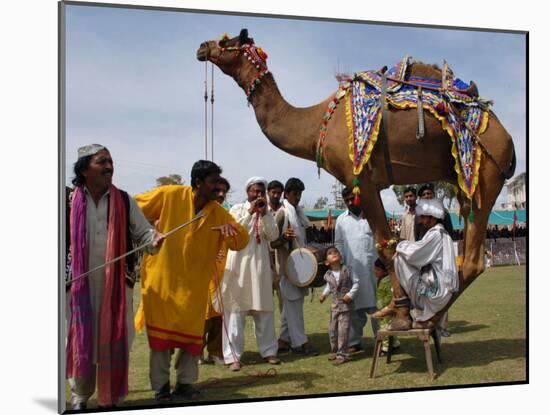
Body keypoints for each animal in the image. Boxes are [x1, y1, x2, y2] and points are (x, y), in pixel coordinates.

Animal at [197, 30, 516, 332]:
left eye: (226, 41)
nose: (202, 46)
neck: (318, 124)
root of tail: (508, 141)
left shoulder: (363, 177)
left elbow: (386, 246)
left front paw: (400, 315)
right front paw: (394, 309)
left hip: (486, 172)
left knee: (473, 260)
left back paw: (426, 317)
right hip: (465, 183)